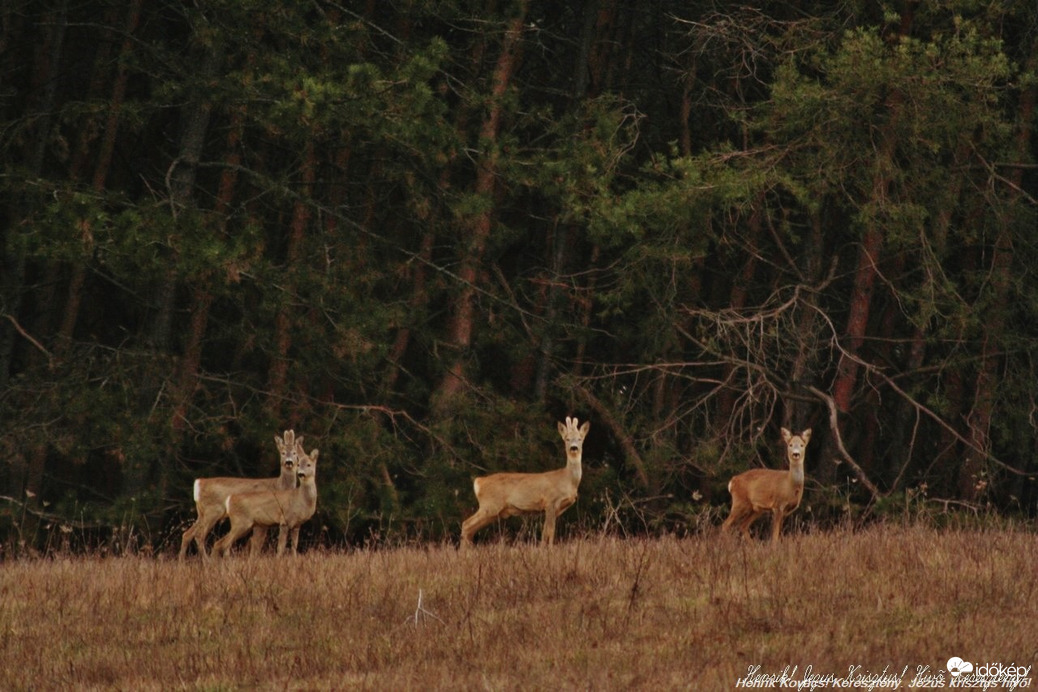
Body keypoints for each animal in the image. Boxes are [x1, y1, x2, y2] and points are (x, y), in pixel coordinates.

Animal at [176, 429, 301, 560]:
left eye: (294, 453)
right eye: (283, 453)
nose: (289, 462)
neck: (278, 486)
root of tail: (199, 484)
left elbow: (257, 544)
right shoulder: (261, 519)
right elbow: (257, 544)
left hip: (202, 513)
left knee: (187, 534)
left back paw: (182, 562)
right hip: (212, 511)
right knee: (199, 536)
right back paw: (207, 561)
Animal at [462, 417, 593, 547]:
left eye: (580, 439)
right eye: (567, 439)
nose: (574, 448)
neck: (567, 480)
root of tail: (479, 481)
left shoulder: (554, 509)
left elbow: (547, 531)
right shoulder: (550, 501)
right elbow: (549, 531)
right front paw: (549, 549)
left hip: (494, 511)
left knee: (470, 529)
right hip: (490, 505)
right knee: (466, 524)